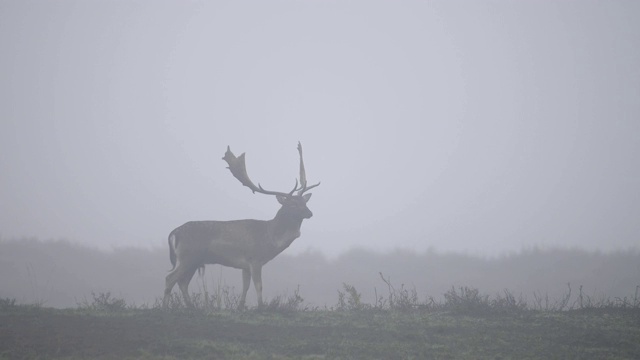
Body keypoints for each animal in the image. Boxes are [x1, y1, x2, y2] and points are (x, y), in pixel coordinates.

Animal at [161, 142, 318, 308]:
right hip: (188, 256)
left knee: (182, 282)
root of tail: (174, 233)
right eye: (293, 204)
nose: (310, 213)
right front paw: (261, 307)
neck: (270, 238)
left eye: (304, 202)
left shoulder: (245, 265)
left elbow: (246, 286)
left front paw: (241, 306)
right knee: (170, 278)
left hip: (193, 260)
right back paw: (165, 307)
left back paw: (192, 307)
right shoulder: (255, 258)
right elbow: (259, 286)